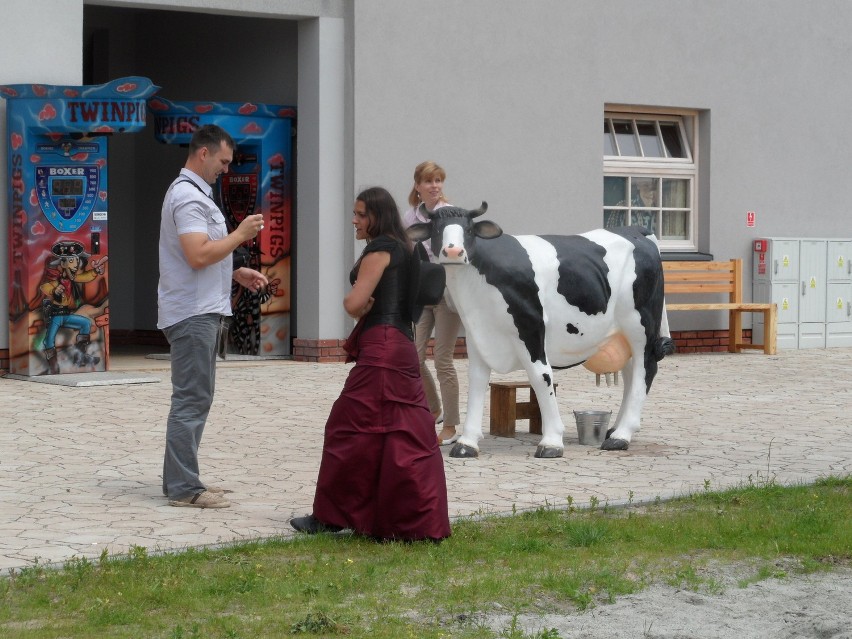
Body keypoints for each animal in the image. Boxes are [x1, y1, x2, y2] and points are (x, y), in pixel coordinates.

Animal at [410, 202, 676, 458]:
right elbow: (476, 380)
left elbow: (541, 377)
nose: (454, 252)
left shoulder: (531, 326)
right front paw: (467, 443)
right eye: (436, 229)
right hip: (621, 335)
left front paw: (552, 442)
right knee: (631, 374)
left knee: (645, 369)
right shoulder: (478, 333)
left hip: (641, 325)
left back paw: (621, 436)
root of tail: (635, 230)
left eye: (468, 229)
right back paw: (615, 429)